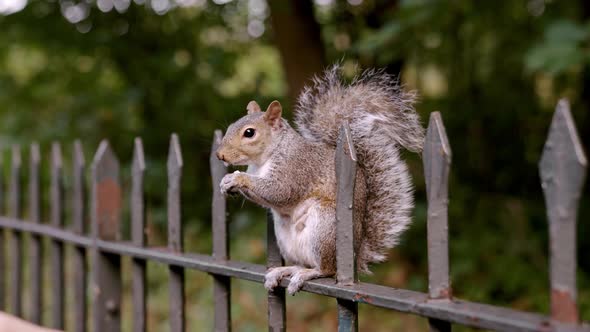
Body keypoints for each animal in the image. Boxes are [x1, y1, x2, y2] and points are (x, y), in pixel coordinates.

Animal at [217, 65, 426, 296]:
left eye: (249, 133)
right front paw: (226, 182)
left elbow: (280, 191)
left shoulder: (296, 169)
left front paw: (238, 178)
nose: (220, 155)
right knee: (304, 263)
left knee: (326, 269)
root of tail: (355, 256)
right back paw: (286, 270)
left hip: (324, 227)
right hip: (286, 237)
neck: (264, 158)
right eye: (230, 127)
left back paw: (307, 274)